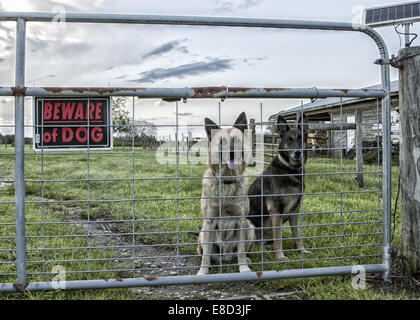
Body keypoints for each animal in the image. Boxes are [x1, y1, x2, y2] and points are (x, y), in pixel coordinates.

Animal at [197, 112, 256, 276]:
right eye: (221, 142)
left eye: (236, 140)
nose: (231, 153)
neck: (227, 181)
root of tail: (226, 257)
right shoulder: (209, 221)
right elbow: (206, 255)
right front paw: (202, 272)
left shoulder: (241, 221)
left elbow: (241, 250)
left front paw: (243, 268)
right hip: (202, 233)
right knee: (206, 253)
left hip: (250, 228)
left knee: (241, 252)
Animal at [246, 114, 312, 262]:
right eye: (289, 140)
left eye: (301, 139)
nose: (298, 153)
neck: (290, 170)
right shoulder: (276, 210)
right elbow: (278, 238)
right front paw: (280, 256)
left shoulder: (295, 211)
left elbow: (297, 235)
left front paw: (301, 250)